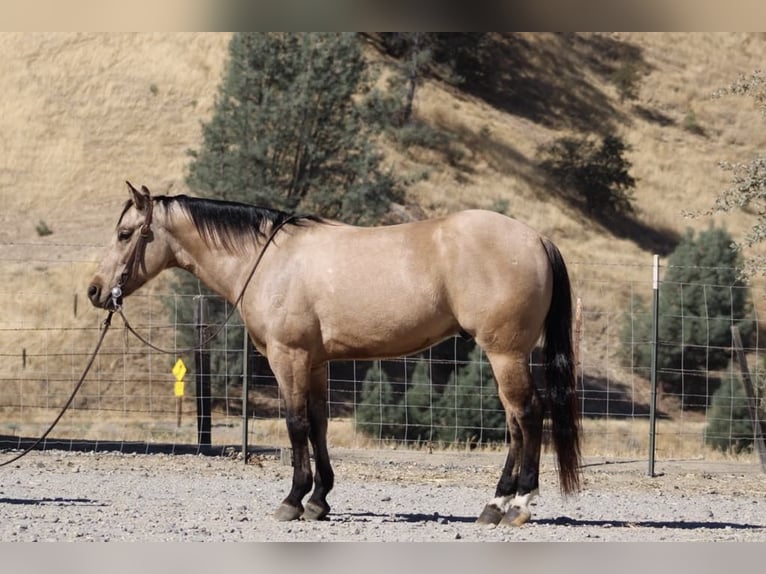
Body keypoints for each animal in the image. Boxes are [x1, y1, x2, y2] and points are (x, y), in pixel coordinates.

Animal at [88, 181, 581, 527]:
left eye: (125, 233)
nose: (95, 290)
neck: (267, 260)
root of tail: (537, 239)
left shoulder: (287, 357)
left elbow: (296, 424)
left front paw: (292, 500)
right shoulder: (316, 362)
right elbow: (319, 423)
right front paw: (319, 500)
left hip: (505, 353)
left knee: (528, 416)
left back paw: (516, 503)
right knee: (517, 422)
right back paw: (495, 505)